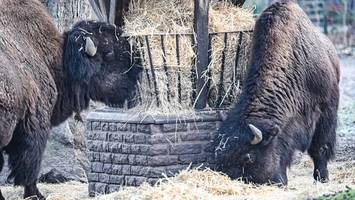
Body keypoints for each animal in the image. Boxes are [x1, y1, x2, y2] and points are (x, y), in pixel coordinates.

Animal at [0, 0, 142, 198]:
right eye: (109, 54)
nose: (137, 72)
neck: (59, 58)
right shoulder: (34, 127)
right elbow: (30, 168)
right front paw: (37, 194)